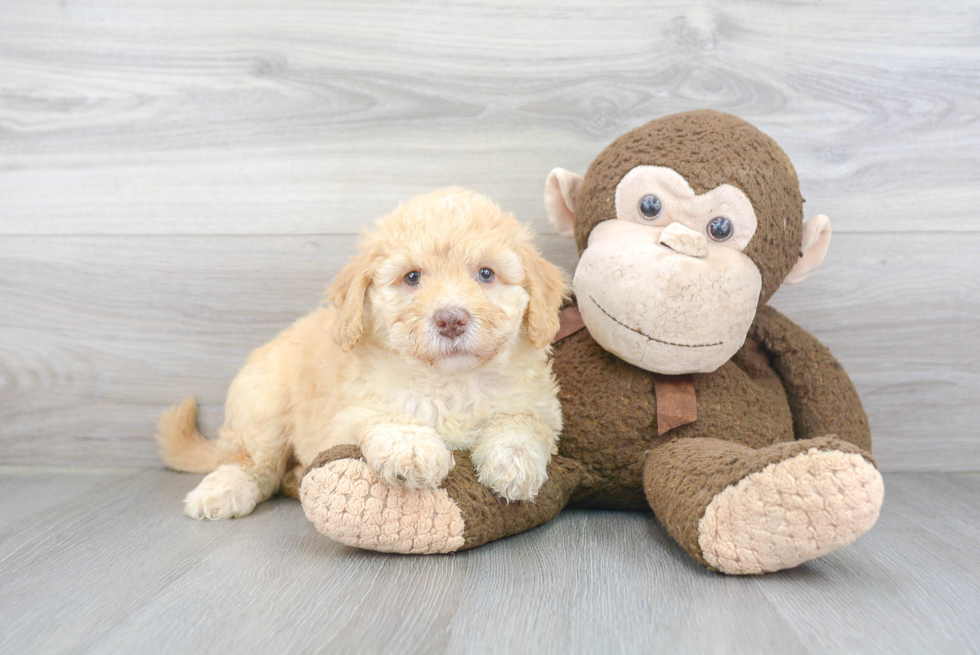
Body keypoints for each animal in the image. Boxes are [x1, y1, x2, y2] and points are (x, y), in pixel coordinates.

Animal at [154, 187, 568, 520]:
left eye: (486, 274)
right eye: (412, 277)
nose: (451, 319)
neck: (450, 381)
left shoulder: (539, 407)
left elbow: (520, 423)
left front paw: (514, 463)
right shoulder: (350, 415)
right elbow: (388, 417)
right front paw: (412, 449)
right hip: (263, 409)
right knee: (251, 463)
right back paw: (222, 490)